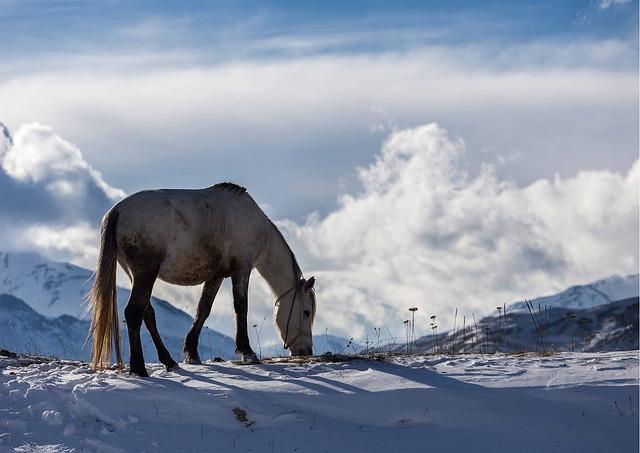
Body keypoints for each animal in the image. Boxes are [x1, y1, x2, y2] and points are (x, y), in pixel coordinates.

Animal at [87, 182, 318, 376]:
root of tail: (118, 210)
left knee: (147, 313)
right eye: (306, 312)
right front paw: (247, 352)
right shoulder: (242, 269)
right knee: (134, 313)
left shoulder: (217, 275)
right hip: (145, 273)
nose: (306, 351)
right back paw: (139, 368)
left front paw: (191, 353)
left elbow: (203, 309)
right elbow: (241, 307)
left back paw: (168, 361)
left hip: (135, 274)